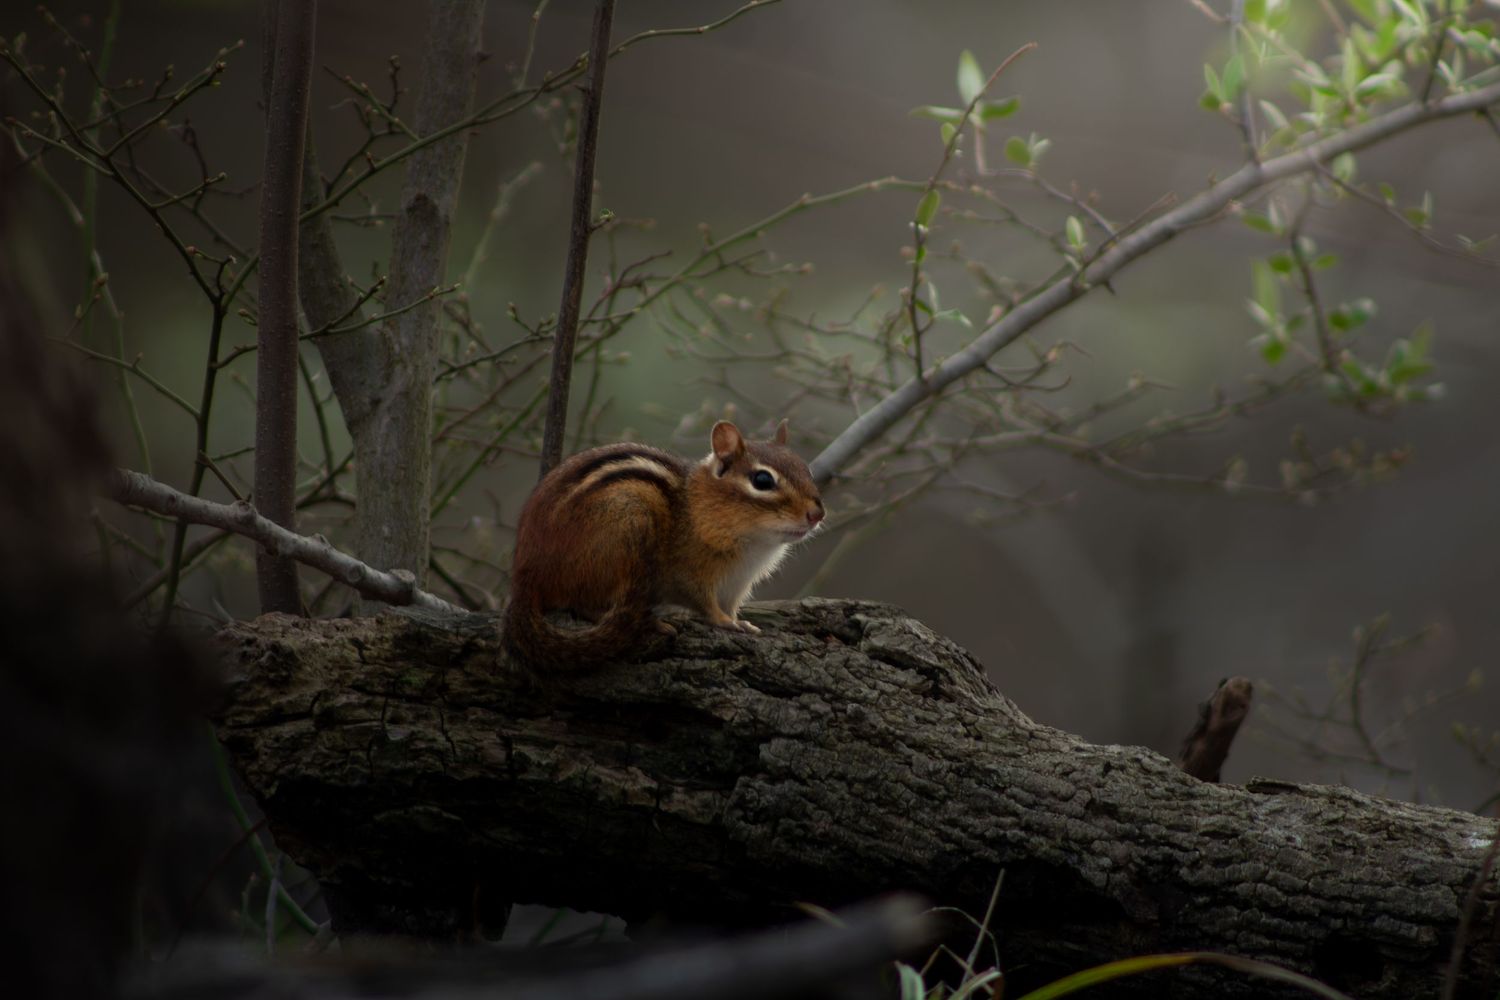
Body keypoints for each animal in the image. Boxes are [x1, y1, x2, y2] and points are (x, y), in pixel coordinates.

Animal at [503, 419, 826, 668]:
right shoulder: (689, 574)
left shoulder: (737, 585)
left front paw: (740, 622)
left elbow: (731, 606)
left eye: (806, 470)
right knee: (585, 605)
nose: (817, 514)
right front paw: (724, 622)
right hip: (623, 524)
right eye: (762, 480)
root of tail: (525, 576)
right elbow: (704, 604)